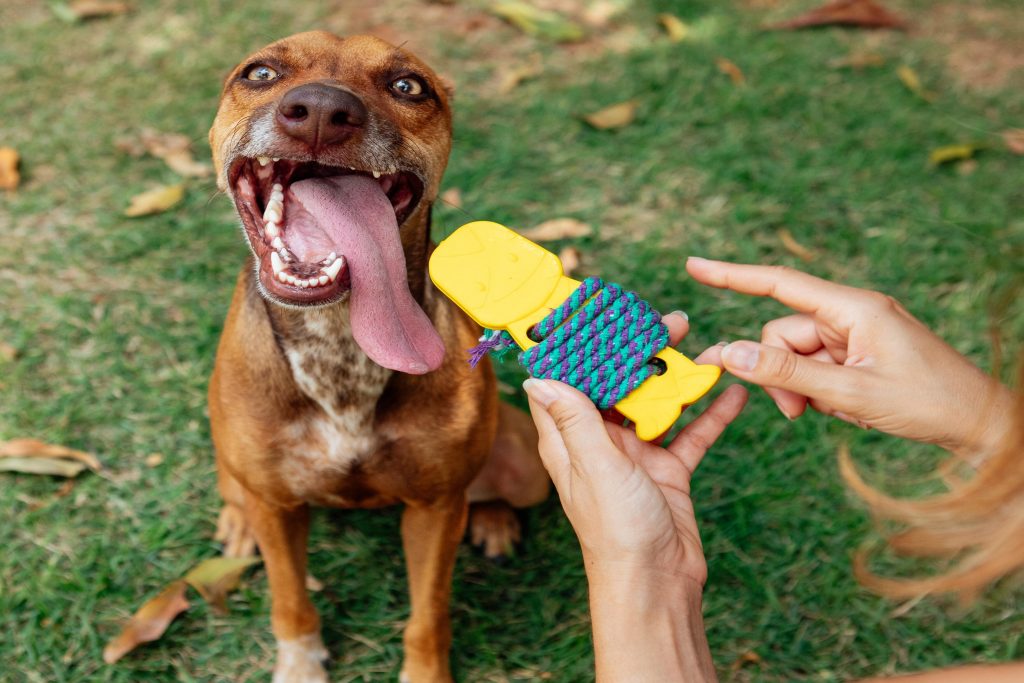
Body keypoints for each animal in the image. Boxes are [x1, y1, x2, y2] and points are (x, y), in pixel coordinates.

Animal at [206, 31, 552, 683]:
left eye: (408, 86)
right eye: (260, 73)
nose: (320, 111)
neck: (339, 341)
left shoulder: (435, 509)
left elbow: (428, 615)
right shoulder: (278, 508)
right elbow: (289, 599)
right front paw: (300, 664)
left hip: (526, 467)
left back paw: (493, 519)